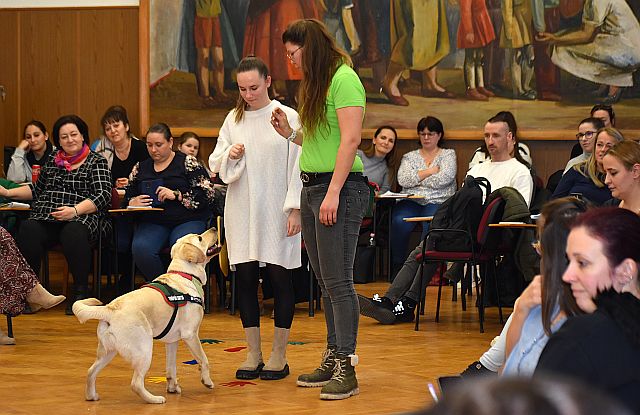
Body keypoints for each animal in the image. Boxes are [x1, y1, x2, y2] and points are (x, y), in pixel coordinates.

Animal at [74, 226, 219, 404]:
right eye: (199, 238)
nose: (214, 228)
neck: (185, 274)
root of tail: (110, 309)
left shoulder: (172, 341)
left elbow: (171, 368)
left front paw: (173, 387)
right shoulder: (191, 335)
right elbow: (204, 359)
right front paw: (207, 381)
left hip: (108, 351)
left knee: (90, 371)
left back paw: (91, 396)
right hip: (144, 349)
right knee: (136, 383)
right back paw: (154, 399)